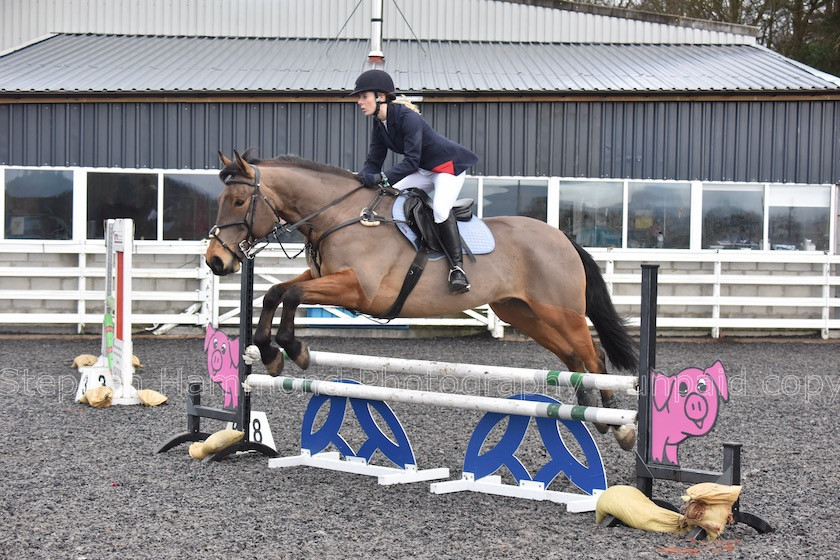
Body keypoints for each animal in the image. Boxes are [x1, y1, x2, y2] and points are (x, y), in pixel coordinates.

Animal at [207, 152, 640, 450]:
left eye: (240, 202)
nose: (216, 261)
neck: (340, 216)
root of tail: (562, 237)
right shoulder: (323, 278)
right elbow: (275, 293)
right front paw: (271, 353)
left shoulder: (358, 290)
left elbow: (292, 295)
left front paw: (291, 348)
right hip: (524, 313)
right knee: (572, 358)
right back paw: (592, 413)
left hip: (561, 311)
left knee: (593, 356)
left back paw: (619, 423)